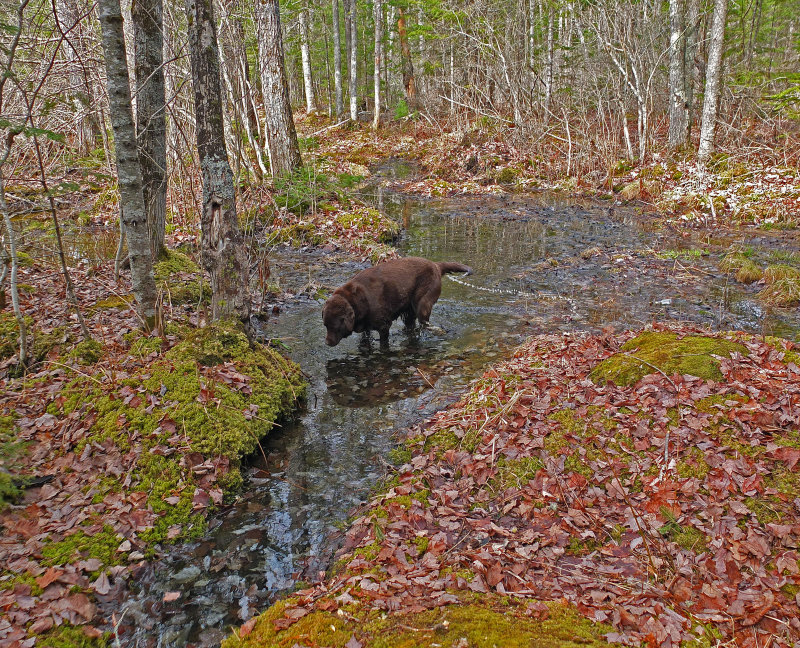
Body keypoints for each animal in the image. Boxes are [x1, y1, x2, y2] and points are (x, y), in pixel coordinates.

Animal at [322, 256, 472, 346]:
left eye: (335, 326)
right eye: (325, 325)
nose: (327, 342)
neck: (357, 300)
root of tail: (435, 265)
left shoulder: (384, 326)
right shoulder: (366, 327)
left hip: (422, 304)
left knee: (424, 323)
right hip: (409, 310)